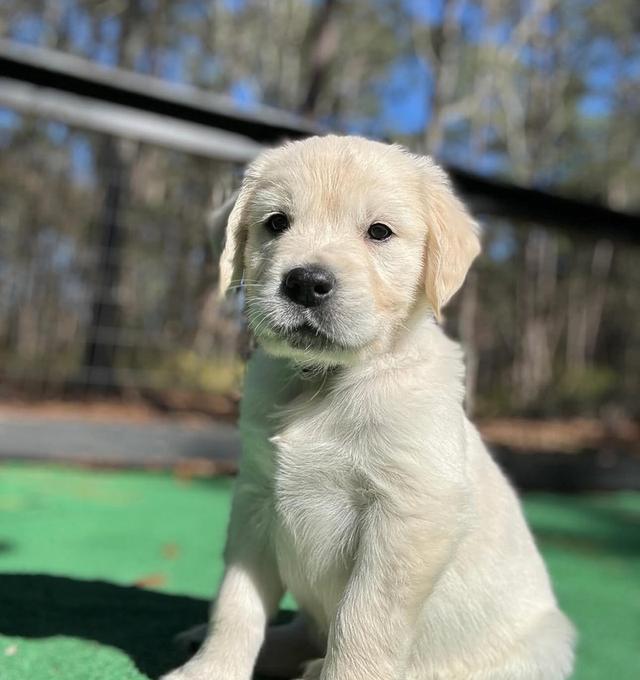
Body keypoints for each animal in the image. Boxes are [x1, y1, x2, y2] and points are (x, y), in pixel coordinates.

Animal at [161, 134, 576, 680]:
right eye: (276, 222)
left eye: (379, 232)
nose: (305, 283)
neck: (328, 379)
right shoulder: (254, 499)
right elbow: (236, 601)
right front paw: (210, 668)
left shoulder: (408, 516)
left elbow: (363, 618)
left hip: (541, 646)